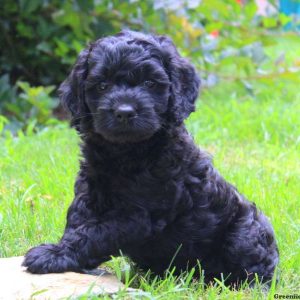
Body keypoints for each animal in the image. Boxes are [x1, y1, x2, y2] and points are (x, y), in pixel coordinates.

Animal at [22, 30, 278, 286]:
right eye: (102, 85)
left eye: (150, 83)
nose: (124, 112)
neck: (126, 152)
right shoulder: (90, 189)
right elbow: (77, 220)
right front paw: (61, 252)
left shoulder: (141, 214)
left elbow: (96, 232)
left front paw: (52, 256)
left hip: (245, 234)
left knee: (256, 269)